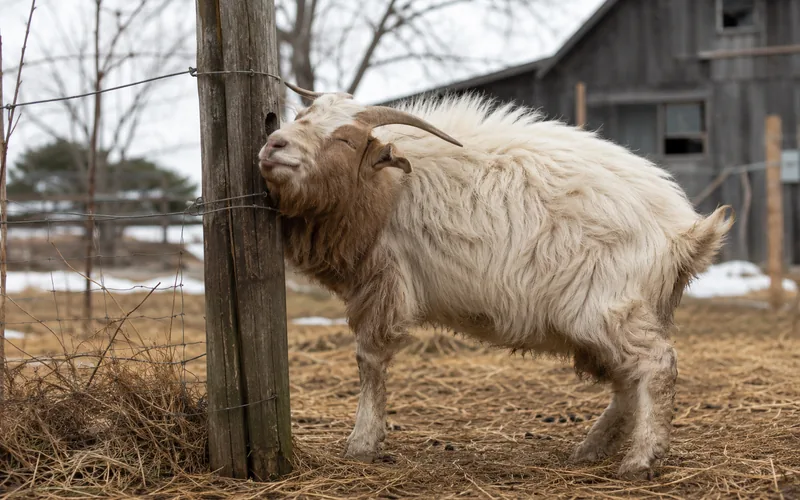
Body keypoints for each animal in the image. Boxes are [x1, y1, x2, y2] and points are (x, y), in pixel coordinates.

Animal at [258, 83, 733, 480]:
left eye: (345, 139)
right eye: (303, 115)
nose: (274, 144)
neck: (390, 185)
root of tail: (681, 234)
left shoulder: (384, 282)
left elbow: (369, 361)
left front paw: (361, 445)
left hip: (610, 308)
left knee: (656, 366)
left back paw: (641, 460)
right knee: (626, 384)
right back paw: (590, 450)